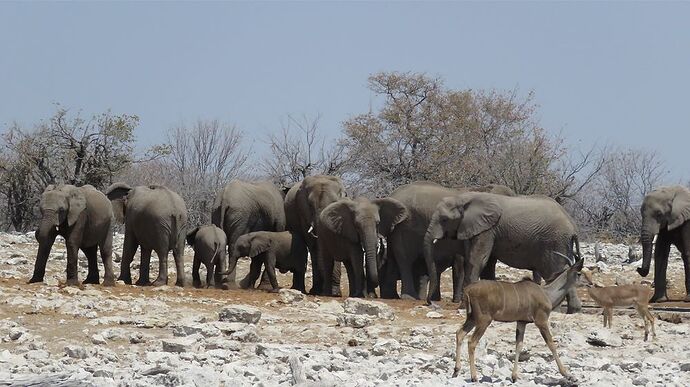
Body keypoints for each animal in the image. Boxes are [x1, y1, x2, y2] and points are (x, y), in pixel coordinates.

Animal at [382, 183, 516, 304]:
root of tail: (392, 194)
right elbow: (461, 264)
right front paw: (458, 300)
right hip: (404, 229)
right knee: (405, 260)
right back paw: (410, 297)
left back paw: (393, 296)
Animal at [422, 192, 576, 314]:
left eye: (444, 219)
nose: (429, 303)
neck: (464, 198)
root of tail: (572, 225)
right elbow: (487, 264)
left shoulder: (487, 229)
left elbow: (477, 260)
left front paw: (463, 307)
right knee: (566, 270)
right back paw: (573, 310)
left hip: (555, 241)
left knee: (555, 273)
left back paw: (556, 309)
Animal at [452, 238, 580, 384]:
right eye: (580, 273)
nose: (591, 283)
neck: (546, 293)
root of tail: (468, 290)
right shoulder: (541, 321)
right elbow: (551, 344)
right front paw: (568, 374)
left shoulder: (521, 322)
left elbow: (518, 345)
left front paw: (514, 377)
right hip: (483, 321)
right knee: (471, 342)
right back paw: (474, 377)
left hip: (472, 318)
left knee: (460, 333)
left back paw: (456, 371)